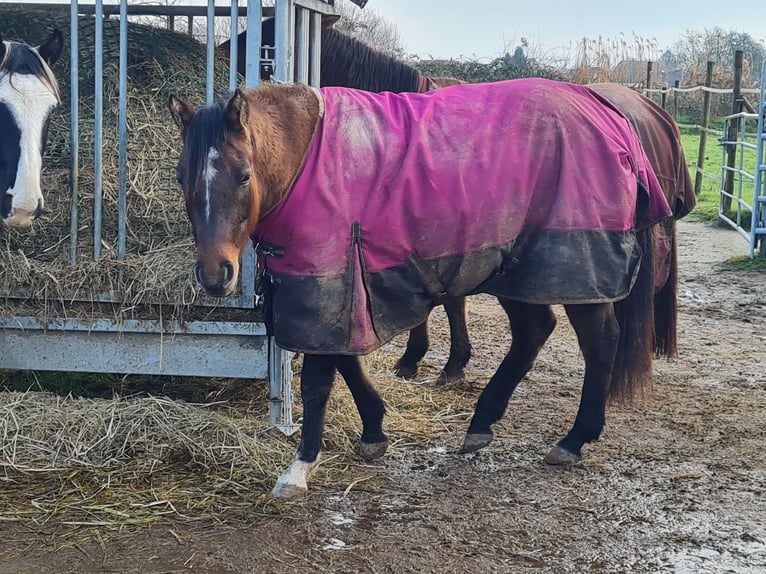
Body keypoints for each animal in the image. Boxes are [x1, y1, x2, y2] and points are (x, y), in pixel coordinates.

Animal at [168, 76, 672, 500]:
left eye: (243, 174)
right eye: (180, 177)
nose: (215, 274)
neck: (309, 160)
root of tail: (608, 112)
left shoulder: (328, 285)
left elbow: (318, 381)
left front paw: (300, 467)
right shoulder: (344, 292)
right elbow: (349, 362)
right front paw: (374, 431)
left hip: (575, 273)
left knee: (599, 342)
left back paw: (575, 438)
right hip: (518, 269)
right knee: (533, 333)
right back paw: (482, 423)